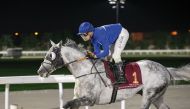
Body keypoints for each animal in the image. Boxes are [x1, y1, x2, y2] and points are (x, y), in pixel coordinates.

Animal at [37, 40, 190, 109]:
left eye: (50, 55)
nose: (40, 71)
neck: (84, 72)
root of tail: (165, 69)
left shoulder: (90, 99)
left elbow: (67, 104)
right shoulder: (79, 98)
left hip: (149, 94)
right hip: (157, 97)